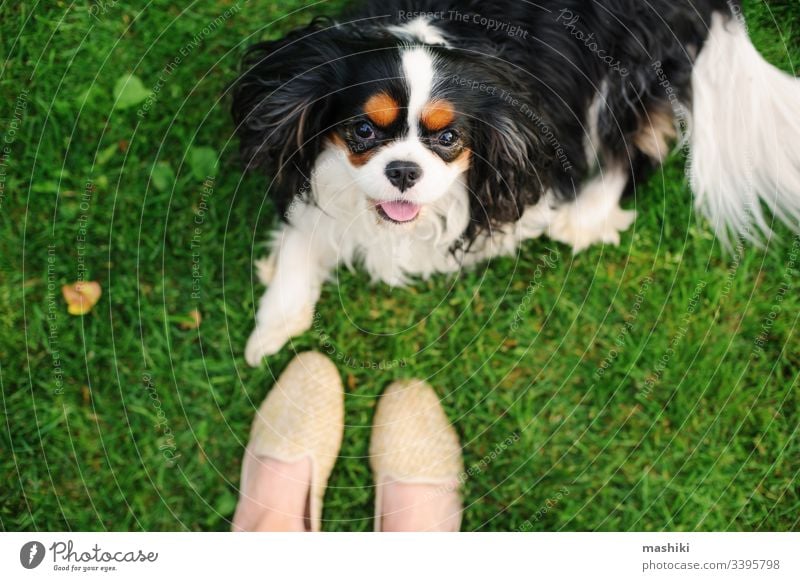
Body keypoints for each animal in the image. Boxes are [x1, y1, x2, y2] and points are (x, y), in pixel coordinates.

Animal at [231, 0, 800, 364]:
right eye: (363, 131)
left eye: (449, 138)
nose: (403, 171)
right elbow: (308, 231)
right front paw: (273, 323)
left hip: (629, 73)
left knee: (635, 148)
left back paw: (585, 218)